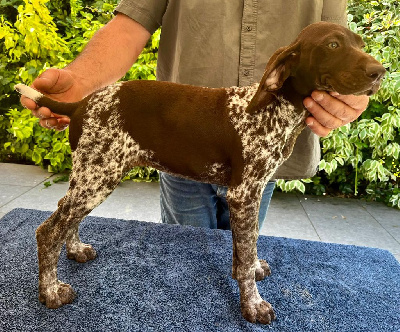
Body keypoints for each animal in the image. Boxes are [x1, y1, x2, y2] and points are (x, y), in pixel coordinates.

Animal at [14, 21, 384, 324]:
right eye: (333, 45)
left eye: (360, 44)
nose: (379, 71)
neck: (276, 109)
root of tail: (80, 104)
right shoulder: (243, 194)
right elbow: (244, 258)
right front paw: (253, 305)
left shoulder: (250, 195)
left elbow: (248, 245)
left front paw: (253, 269)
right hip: (98, 175)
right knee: (48, 230)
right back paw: (51, 292)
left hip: (92, 174)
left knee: (66, 218)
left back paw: (75, 250)